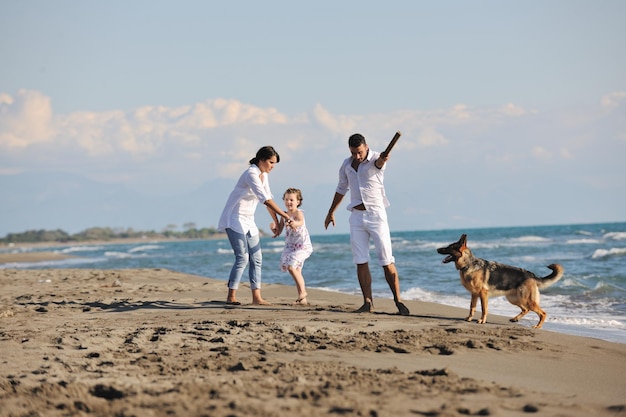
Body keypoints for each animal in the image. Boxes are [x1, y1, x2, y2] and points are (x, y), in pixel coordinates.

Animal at [436, 234, 564, 328]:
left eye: (449, 247)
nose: (437, 249)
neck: (468, 264)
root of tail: (531, 275)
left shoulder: (483, 294)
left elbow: (484, 309)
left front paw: (482, 320)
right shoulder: (474, 294)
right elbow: (472, 307)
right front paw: (469, 318)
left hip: (526, 300)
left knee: (542, 313)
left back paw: (537, 327)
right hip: (514, 299)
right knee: (525, 309)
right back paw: (515, 319)